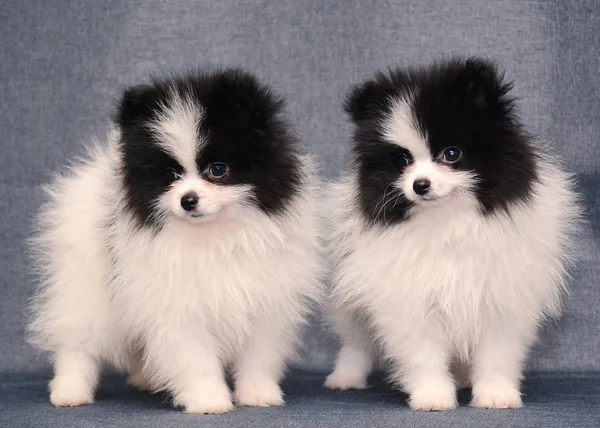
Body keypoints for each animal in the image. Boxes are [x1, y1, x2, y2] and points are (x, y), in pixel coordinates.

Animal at [27, 68, 324, 412]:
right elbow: (194, 358)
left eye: (218, 169)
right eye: (170, 175)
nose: (188, 200)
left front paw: (257, 394)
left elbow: (258, 357)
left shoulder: (266, 303)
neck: (213, 235)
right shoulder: (178, 306)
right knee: (78, 343)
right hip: (86, 286)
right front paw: (208, 399)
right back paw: (69, 391)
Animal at [324, 58, 580, 410]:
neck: (448, 220)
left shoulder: (500, 295)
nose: (420, 184)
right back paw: (345, 378)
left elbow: (498, 353)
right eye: (402, 160)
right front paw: (432, 395)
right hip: (352, 305)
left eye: (451, 154)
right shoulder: (410, 299)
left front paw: (496, 395)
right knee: (356, 342)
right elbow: (423, 354)